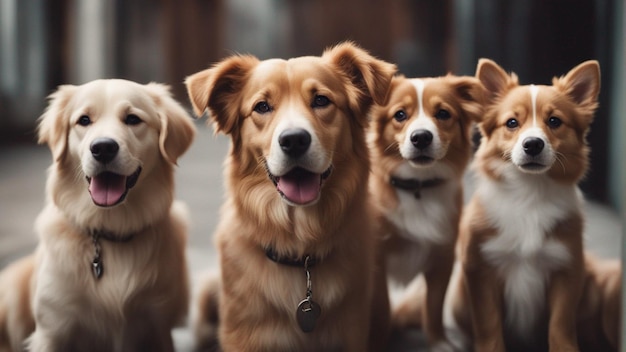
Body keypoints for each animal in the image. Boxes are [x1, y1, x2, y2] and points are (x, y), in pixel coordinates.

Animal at [0, 80, 194, 352]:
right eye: (84, 120)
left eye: (133, 119)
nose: (103, 148)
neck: (110, 229)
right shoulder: (53, 328)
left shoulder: (158, 325)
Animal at [368, 73, 486, 350]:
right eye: (400, 114)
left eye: (443, 113)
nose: (421, 137)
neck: (417, 186)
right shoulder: (377, 259)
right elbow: (381, 309)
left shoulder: (442, 258)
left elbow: (433, 307)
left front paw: (438, 342)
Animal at [446, 59, 608, 350]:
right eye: (512, 122)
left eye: (554, 121)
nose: (533, 144)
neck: (529, 193)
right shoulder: (481, 270)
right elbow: (489, 325)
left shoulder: (567, 269)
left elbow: (560, 325)